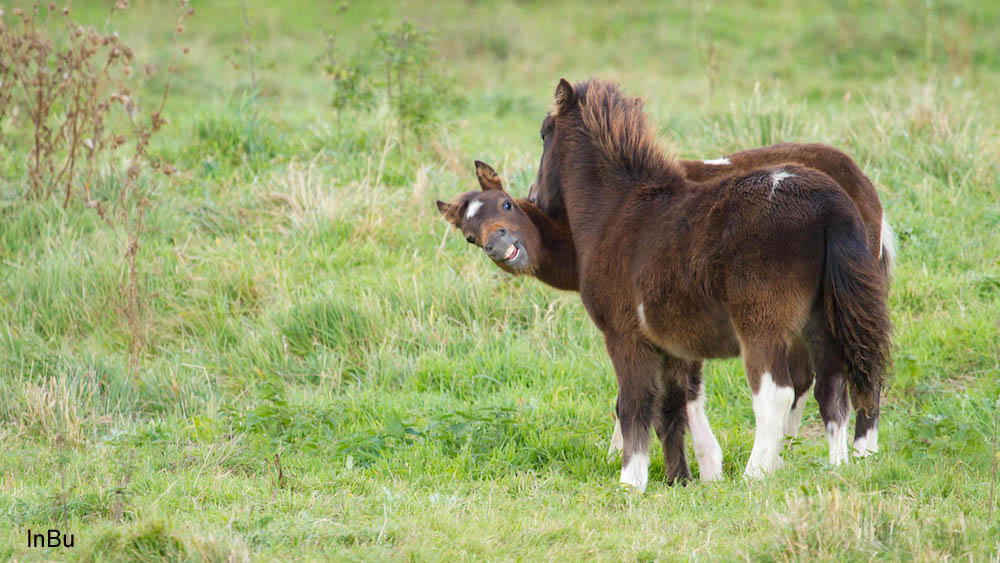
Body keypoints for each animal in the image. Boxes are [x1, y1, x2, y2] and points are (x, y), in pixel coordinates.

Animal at [524, 78, 892, 490]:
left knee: (776, 393)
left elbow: (634, 402)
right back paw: (836, 466)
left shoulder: (624, 335)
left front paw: (630, 482)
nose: (535, 198)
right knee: (834, 387)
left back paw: (755, 474)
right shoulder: (672, 344)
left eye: (544, 133)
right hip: (823, 321)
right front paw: (684, 477)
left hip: (763, 324)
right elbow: (672, 404)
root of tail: (832, 204)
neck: (617, 209)